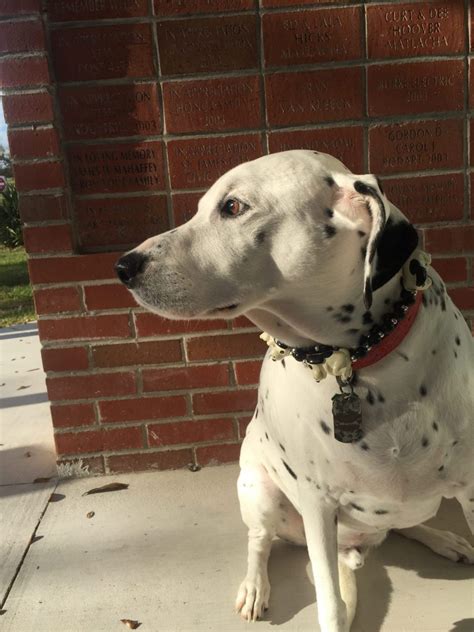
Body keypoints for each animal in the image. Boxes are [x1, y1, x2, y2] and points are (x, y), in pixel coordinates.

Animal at [115, 152, 474, 632]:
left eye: (232, 207)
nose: (123, 266)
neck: (360, 358)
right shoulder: (318, 506)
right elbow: (330, 605)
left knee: (404, 524)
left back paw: (444, 539)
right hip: (259, 491)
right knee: (259, 541)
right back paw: (255, 586)